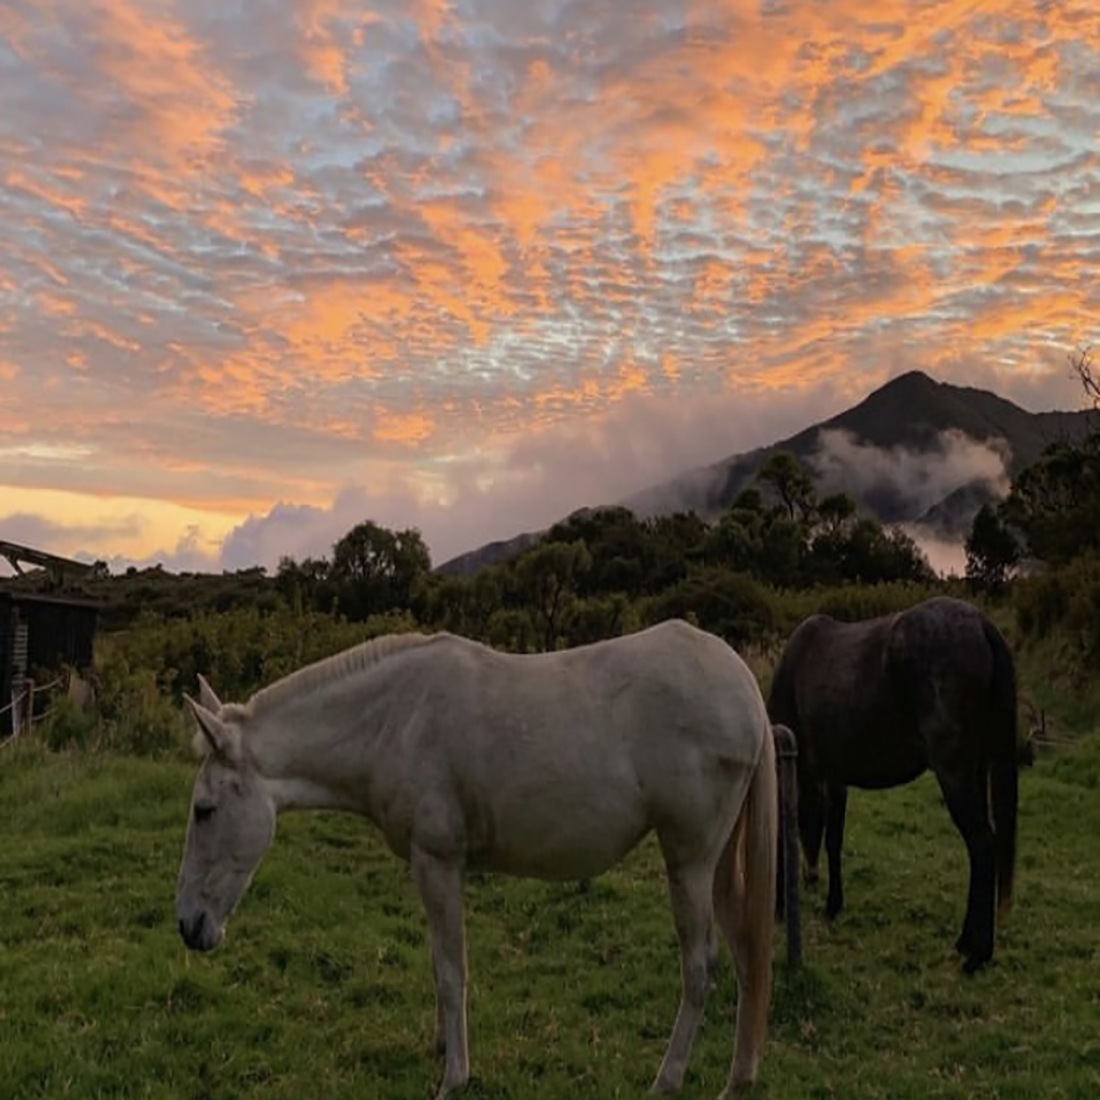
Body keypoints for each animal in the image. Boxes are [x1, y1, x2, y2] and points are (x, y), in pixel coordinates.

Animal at [770, 594, 1016, 972]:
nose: (809, 877)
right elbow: (833, 840)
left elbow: (788, 832)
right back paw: (966, 944)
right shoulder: (835, 779)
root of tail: (980, 623)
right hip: (976, 769)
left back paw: (977, 956)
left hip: (954, 773)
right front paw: (833, 904)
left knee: (983, 845)